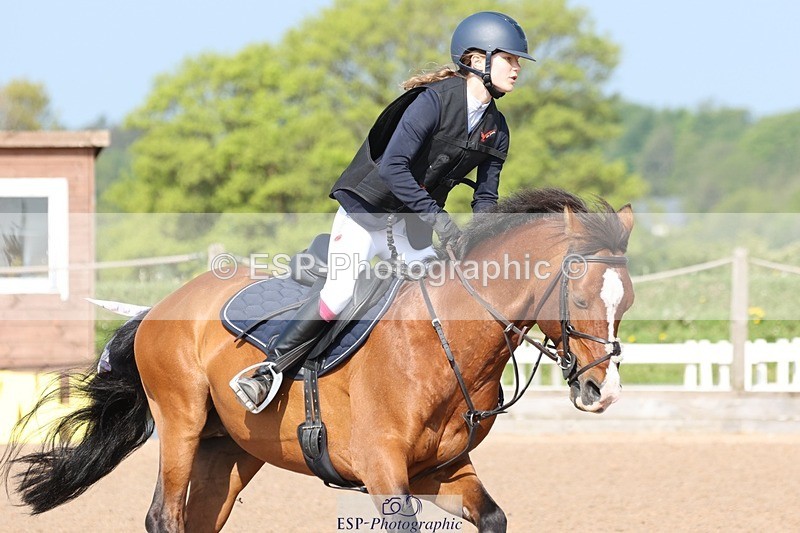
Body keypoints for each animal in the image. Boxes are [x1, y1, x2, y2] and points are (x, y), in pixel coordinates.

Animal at [2, 188, 634, 532]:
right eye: (580, 300)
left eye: (625, 302)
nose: (602, 393)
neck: (447, 341)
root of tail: (162, 304)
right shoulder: (384, 471)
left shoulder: (441, 470)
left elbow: (495, 516)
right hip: (180, 424)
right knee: (165, 516)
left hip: (227, 452)